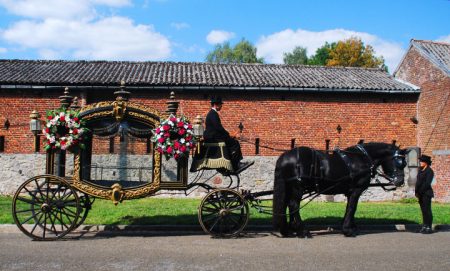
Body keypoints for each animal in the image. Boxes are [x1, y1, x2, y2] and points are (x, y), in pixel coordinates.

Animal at [272, 142, 410, 238]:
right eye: (400, 162)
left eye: (404, 163)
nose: (400, 181)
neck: (363, 158)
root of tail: (284, 157)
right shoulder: (356, 190)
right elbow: (352, 208)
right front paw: (348, 230)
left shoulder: (349, 192)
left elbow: (350, 208)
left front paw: (351, 226)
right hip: (298, 187)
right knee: (293, 205)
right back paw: (302, 230)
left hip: (290, 187)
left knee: (287, 204)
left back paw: (290, 229)